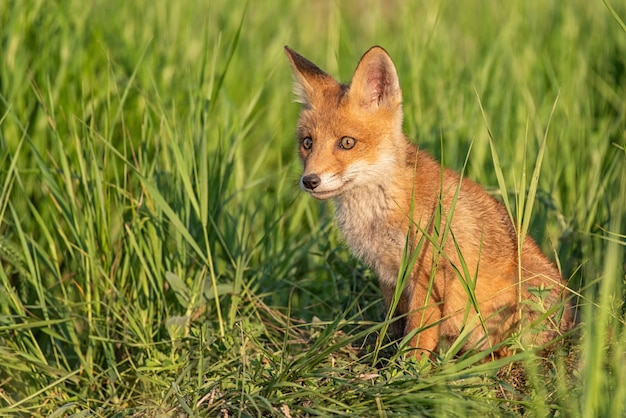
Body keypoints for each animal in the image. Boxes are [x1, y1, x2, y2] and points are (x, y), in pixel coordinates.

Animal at [282, 45, 572, 360]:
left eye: (347, 143)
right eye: (308, 143)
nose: (309, 180)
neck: (379, 212)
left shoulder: (428, 274)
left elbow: (418, 336)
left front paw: (407, 368)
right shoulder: (388, 275)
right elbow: (395, 326)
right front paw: (383, 358)